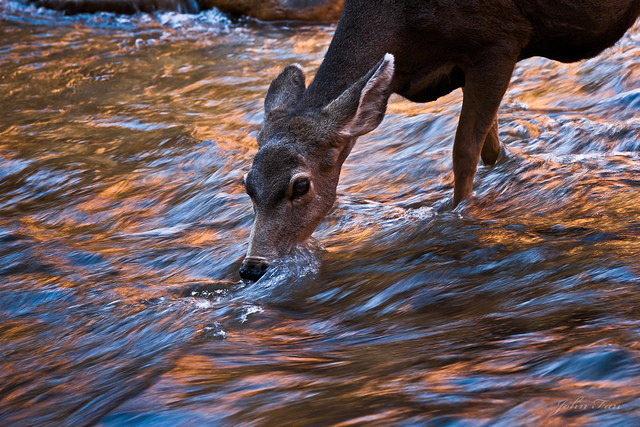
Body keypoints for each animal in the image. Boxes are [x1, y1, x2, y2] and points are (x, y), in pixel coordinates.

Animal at [239, 0, 640, 281]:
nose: (252, 267)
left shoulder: (499, 42)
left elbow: (464, 151)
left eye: (300, 185)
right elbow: (491, 148)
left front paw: (460, 215)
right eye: (247, 184)